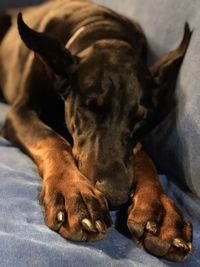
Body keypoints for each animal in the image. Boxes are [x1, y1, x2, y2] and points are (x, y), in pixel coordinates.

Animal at [0, 0, 194, 262]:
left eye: (140, 119)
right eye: (91, 106)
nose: (116, 196)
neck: (101, 28)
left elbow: (144, 156)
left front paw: (161, 210)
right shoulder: (21, 111)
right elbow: (53, 139)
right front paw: (75, 193)